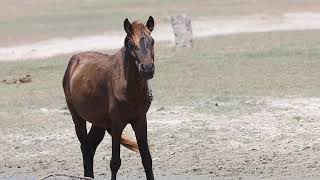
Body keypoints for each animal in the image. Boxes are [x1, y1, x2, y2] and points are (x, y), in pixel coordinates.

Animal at [62, 16, 155, 180]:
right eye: (131, 44)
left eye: (152, 41)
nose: (148, 69)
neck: (129, 89)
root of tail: (73, 61)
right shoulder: (117, 124)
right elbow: (115, 162)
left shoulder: (140, 121)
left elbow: (146, 159)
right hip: (78, 119)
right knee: (85, 147)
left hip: (99, 123)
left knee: (90, 147)